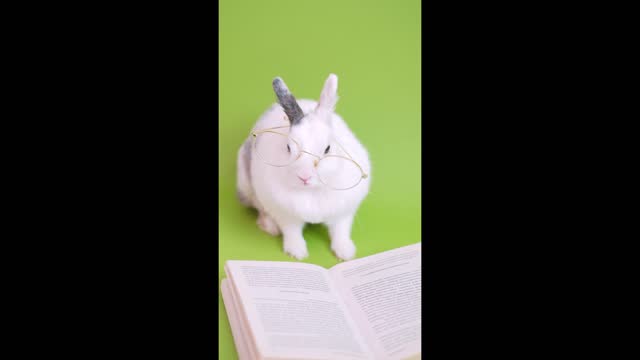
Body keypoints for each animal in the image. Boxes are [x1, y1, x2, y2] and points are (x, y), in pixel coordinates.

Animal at [238, 73, 372, 260]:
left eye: (327, 149)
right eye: (288, 148)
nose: (304, 176)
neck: (312, 191)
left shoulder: (343, 214)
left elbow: (340, 232)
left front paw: (346, 253)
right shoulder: (285, 214)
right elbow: (292, 232)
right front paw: (297, 253)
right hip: (246, 185)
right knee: (260, 208)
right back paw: (270, 227)